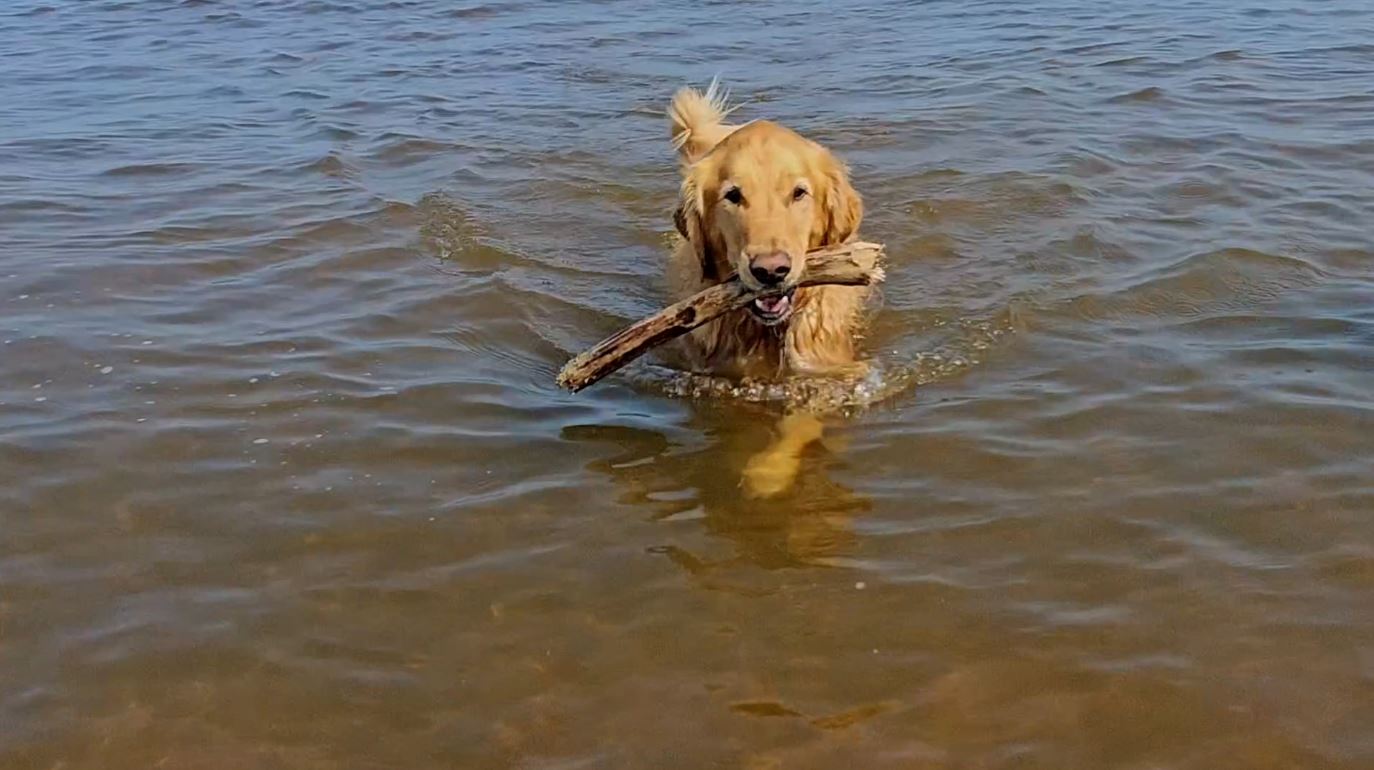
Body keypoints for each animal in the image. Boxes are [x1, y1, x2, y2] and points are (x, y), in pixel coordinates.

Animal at [662, 82, 868, 492]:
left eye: (799, 193)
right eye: (733, 195)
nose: (770, 270)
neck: (766, 333)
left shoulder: (826, 377)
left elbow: (798, 425)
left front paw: (766, 472)